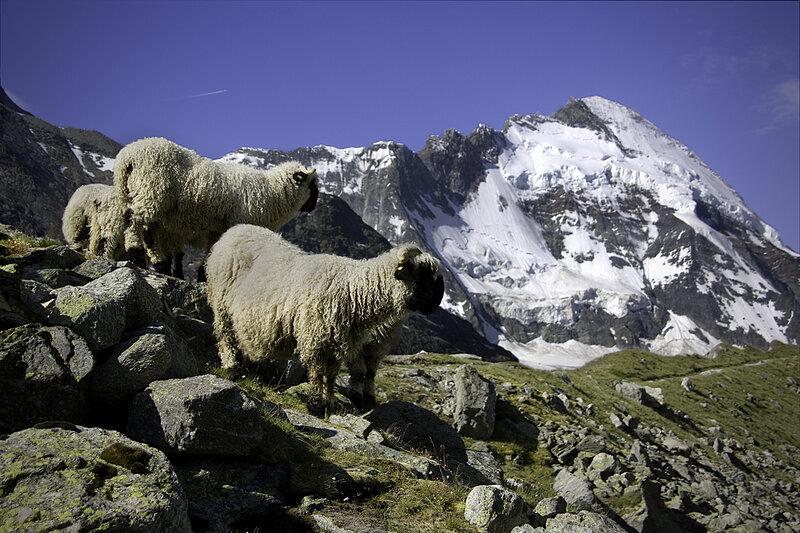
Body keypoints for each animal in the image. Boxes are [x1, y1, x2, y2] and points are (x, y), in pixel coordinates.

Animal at [113, 137, 318, 271]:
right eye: (312, 184)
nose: (314, 205)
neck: (272, 193)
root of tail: (127, 157)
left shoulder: (217, 228)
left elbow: (212, 251)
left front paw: (203, 275)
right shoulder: (240, 221)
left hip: (146, 200)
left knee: (149, 232)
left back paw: (160, 264)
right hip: (151, 189)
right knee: (132, 220)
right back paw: (136, 255)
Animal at [205, 223, 445, 416]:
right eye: (424, 274)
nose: (436, 304)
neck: (354, 291)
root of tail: (234, 230)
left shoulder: (337, 345)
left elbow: (330, 377)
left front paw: (329, 403)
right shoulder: (316, 340)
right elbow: (318, 374)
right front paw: (316, 406)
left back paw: (251, 372)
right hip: (221, 304)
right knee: (225, 337)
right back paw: (232, 369)